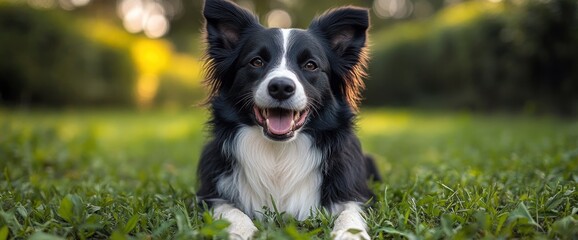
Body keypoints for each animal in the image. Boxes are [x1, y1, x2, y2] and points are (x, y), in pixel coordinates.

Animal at [197, 0, 378, 238]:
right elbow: (229, 210)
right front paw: (242, 231)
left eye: (310, 65)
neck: (279, 154)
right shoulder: (209, 193)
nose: (281, 87)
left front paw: (349, 233)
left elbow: (350, 211)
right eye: (256, 62)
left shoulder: (354, 192)